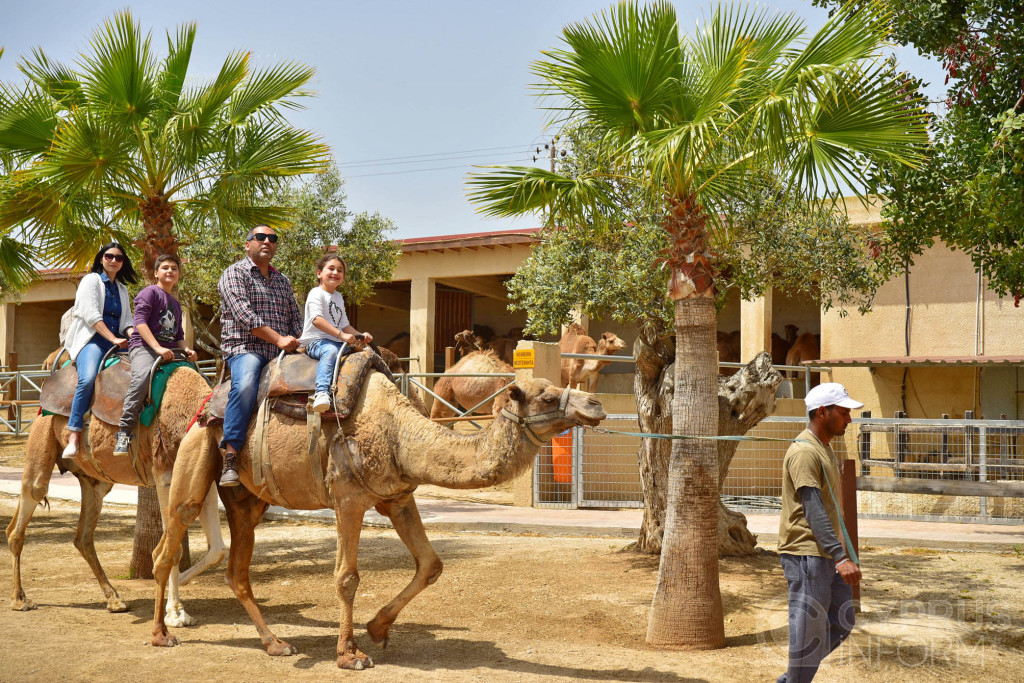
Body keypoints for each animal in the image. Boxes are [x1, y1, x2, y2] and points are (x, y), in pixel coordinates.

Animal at [7, 360, 224, 626]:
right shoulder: (165, 475)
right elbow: (176, 549)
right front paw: (176, 613)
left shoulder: (203, 480)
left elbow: (218, 549)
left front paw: (178, 585)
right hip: (42, 435)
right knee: (30, 500)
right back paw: (20, 599)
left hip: (95, 482)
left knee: (82, 536)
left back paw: (114, 599)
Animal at [148, 370, 602, 671]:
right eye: (547, 397)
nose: (595, 404)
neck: (402, 438)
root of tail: (207, 403)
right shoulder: (348, 499)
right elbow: (347, 577)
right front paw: (350, 654)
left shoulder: (398, 497)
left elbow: (431, 564)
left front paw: (379, 628)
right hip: (195, 455)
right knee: (167, 545)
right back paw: (162, 633)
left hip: (247, 500)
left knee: (237, 571)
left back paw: (276, 644)